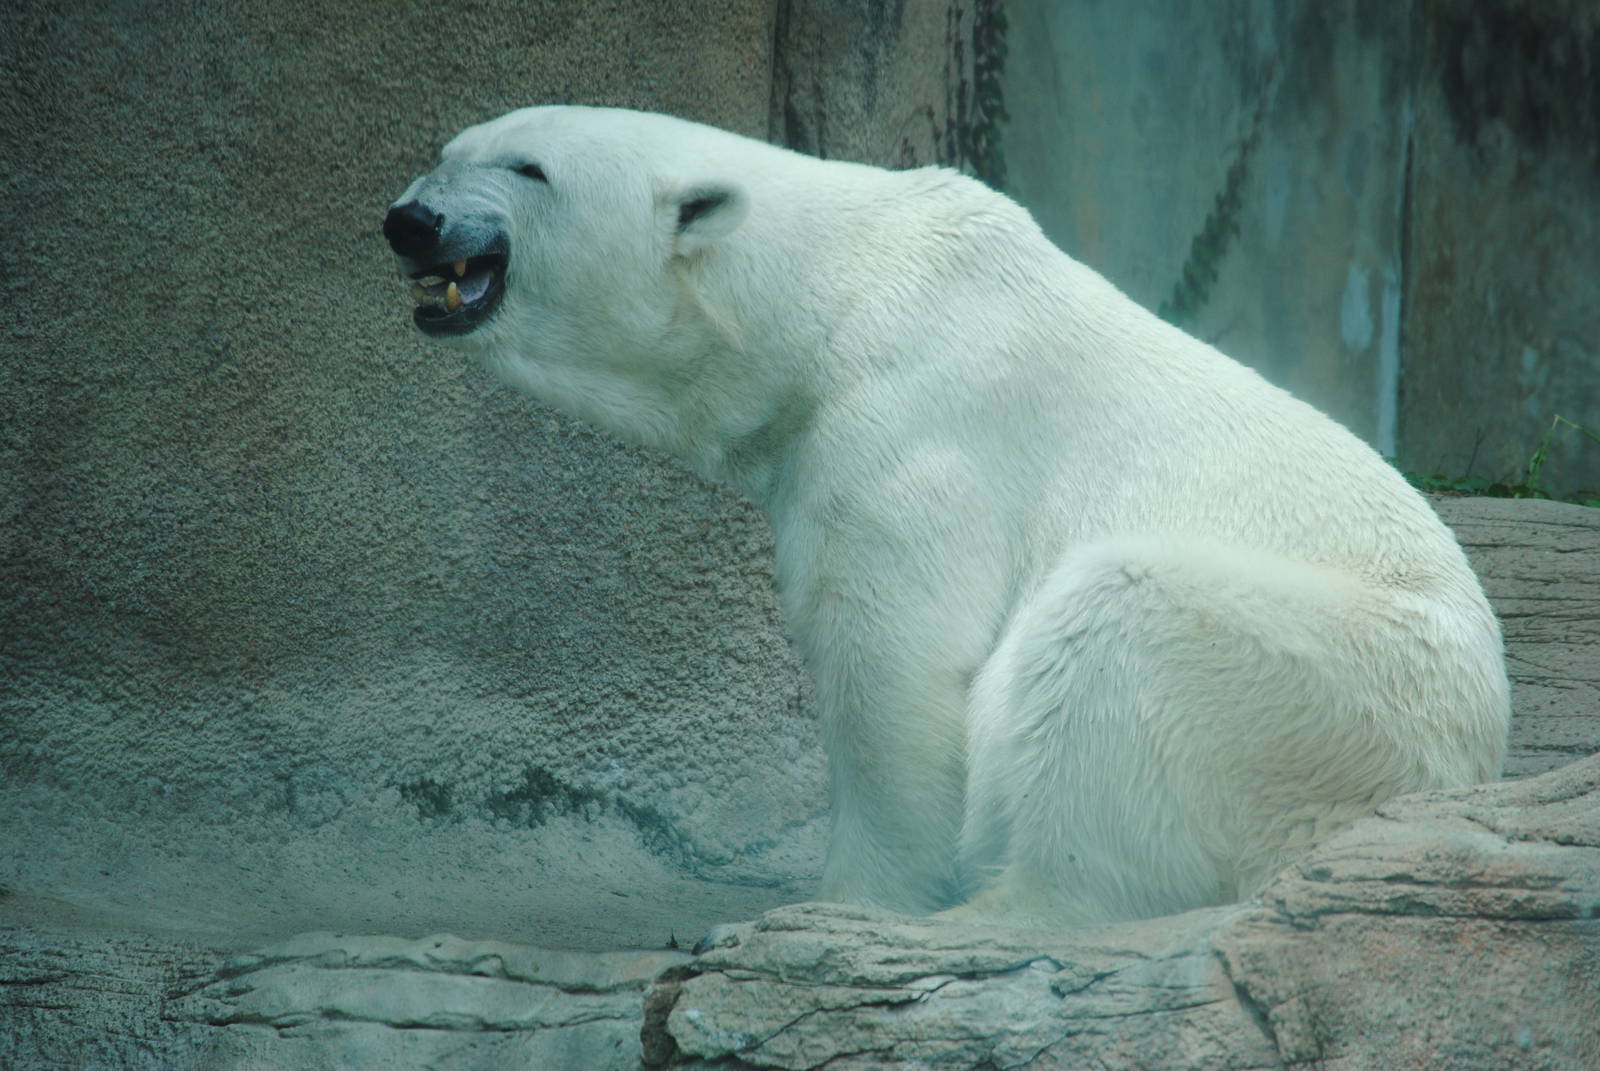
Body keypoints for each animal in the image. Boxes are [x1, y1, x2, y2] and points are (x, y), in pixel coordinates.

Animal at [384, 106, 1511, 927]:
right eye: (446, 153)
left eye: (527, 169)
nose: (410, 220)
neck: (841, 286)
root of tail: (1469, 760)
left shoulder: (913, 425)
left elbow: (893, 655)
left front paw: (840, 908)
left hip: (1341, 690)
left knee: (1119, 631)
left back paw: (1002, 908)